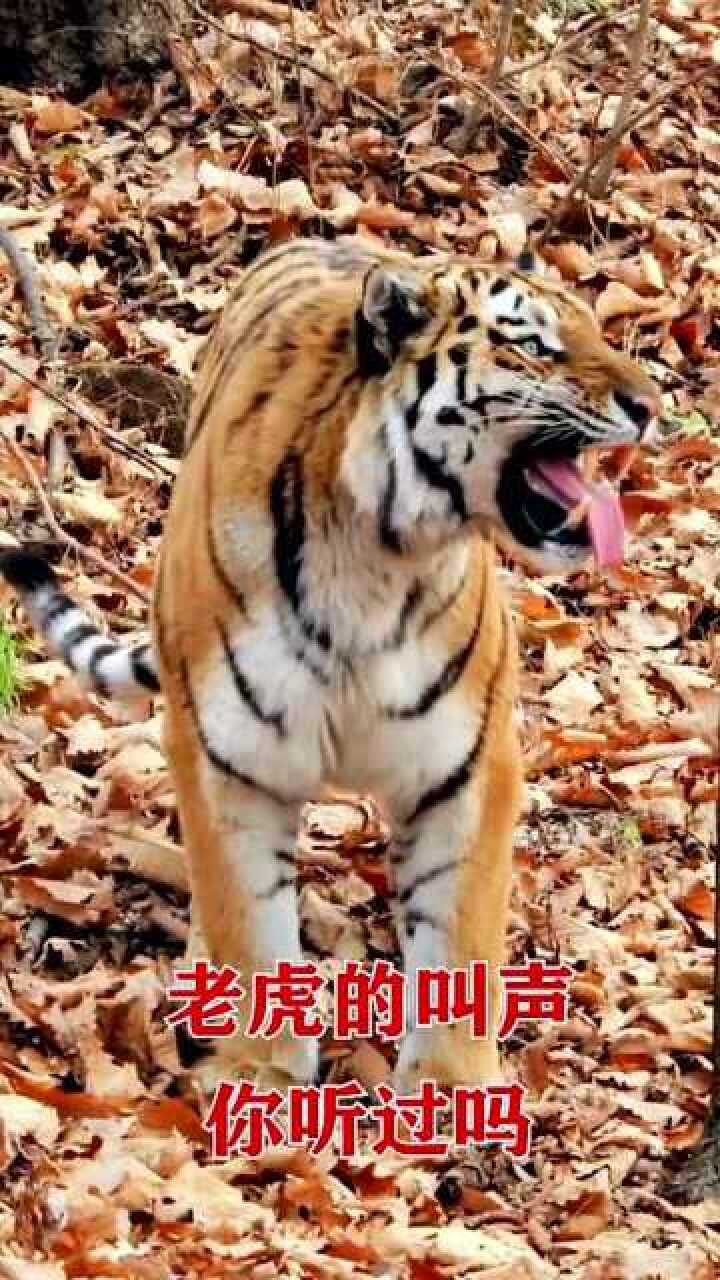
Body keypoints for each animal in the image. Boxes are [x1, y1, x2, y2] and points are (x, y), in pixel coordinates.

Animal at [0, 236, 661, 1093]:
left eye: (596, 330)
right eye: (533, 344)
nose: (651, 405)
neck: (380, 552)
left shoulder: (467, 767)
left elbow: (463, 931)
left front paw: (450, 1090)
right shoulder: (230, 761)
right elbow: (250, 926)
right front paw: (260, 1072)